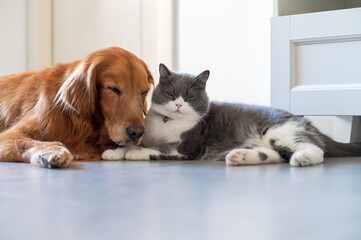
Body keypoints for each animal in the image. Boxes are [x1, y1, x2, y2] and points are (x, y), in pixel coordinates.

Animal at [0, 46, 153, 167]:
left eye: (144, 92)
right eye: (113, 89)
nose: (137, 132)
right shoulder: (10, 135)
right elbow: (28, 142)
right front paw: (53, 151)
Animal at [100, 62, 360, 166]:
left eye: (190, 97)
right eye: (172, 93)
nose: (179, 105)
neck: (168, 122)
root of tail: (307, 122)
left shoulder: (187, 147)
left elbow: (155, 148)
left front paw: (133, 153)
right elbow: (137, 143)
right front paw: (114, 152)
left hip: (281, 132)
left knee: (314, 148)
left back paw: (303, 159)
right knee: (274, 155)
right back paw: (240, 157)